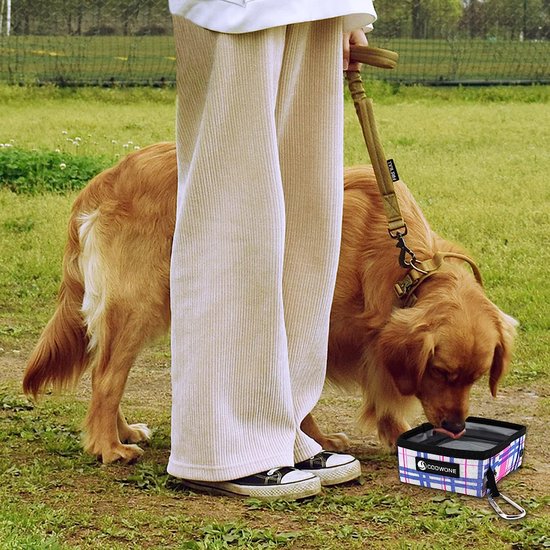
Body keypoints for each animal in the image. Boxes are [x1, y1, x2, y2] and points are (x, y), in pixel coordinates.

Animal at [22, 143, 516, 466]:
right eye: (441, 372)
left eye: (475, 378)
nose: (456, 428)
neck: (395, 257)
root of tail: (105, 179)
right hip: (139, 304)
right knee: (106, 377)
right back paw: (108, 446)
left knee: (106, 373)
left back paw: (121, 431)